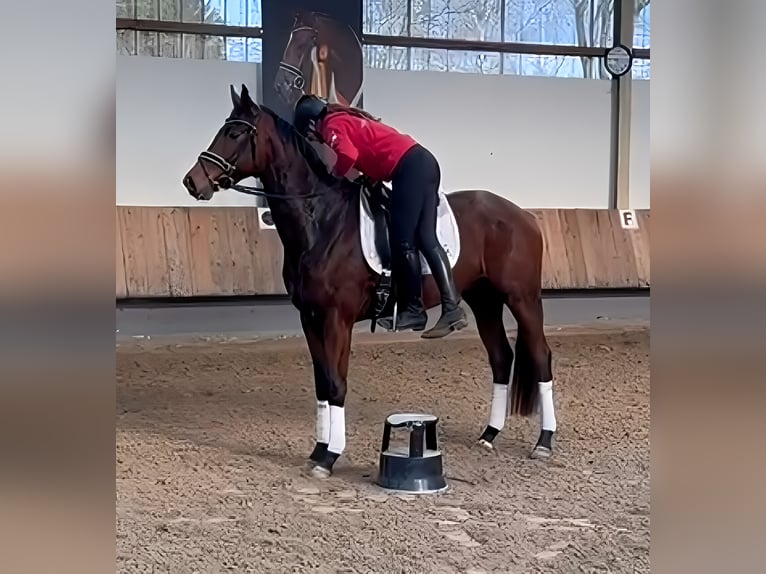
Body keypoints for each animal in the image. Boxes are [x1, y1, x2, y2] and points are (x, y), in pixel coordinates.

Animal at [183, 84, 560, 482]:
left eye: (234, 133)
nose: (193, 181)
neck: (322, 221)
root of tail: (524, 216)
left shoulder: (337, 319)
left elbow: (337, 384)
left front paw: (330, 456)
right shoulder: (310, 317)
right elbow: (322, 383)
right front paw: (317, 451)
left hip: (522, 297)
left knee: (540, 356)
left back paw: (544, 442)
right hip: (484, 299)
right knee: (501, 358)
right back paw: (489, 434)